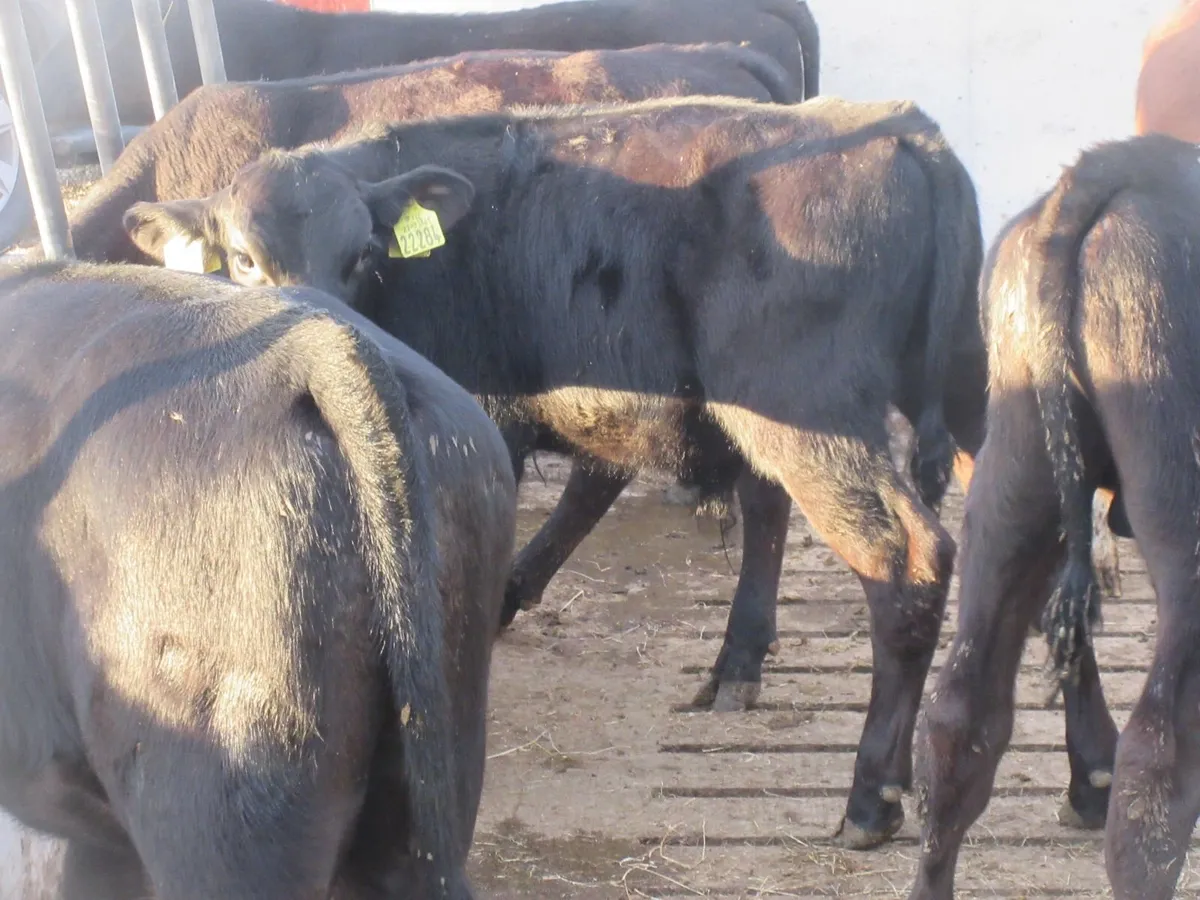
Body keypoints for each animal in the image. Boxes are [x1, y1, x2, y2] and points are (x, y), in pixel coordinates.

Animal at [122, 94, 986, 850]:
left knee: (904, 558)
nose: (329, 326)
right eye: (242, 259)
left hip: (810, 412)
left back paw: (871, 797)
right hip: (972, 393)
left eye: (362, 252)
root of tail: (903, 127)